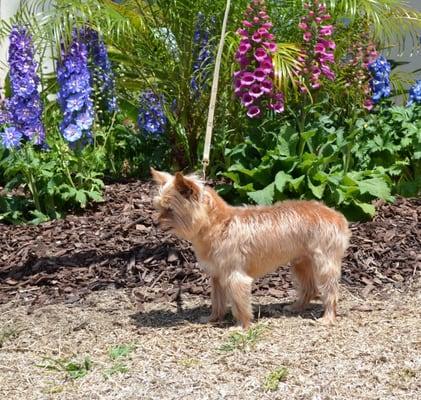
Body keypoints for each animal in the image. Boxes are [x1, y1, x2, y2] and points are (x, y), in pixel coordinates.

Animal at [149, 169, 350, 328]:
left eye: (169, 209)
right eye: (158, 207)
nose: (154, 222)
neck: (218, 224)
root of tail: (338, 216)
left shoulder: (235, 276)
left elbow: (239, 303)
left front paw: (242, 326)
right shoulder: (217, 276)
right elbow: (217, 300)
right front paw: (213, 318)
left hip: (323, 264)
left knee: (331, 291)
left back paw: (328, 317)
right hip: (301, 262)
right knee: (310, 288)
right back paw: (296, 307)